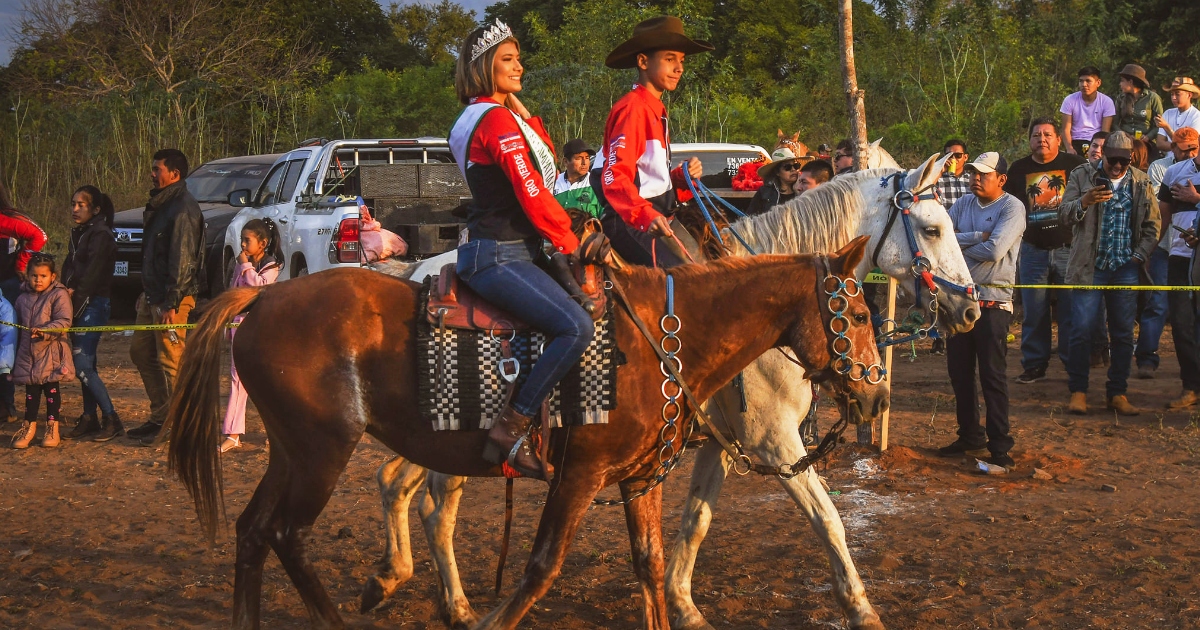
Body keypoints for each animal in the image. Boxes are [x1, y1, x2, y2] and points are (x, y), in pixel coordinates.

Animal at [169, 235, 888, 628]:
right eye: (855, 312)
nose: (875, 392)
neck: (661, 336)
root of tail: (264, 296)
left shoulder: (644, 474)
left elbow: (659, 556)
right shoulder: (584, 474)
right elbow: (541, 568)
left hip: (293, 453)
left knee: (258, 530)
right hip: (321, 452)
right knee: (294, 533)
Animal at [360, 153, 979, 628]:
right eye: (932, 227)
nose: (972, 308)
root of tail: (420, 269)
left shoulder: (718, 444)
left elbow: (694, 520)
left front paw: (682, 605)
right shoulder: (774, 440)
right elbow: (828, 518)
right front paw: (861, 609)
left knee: (400, 485)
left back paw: (396, 580)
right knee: (436, 503)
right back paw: (454, 603)